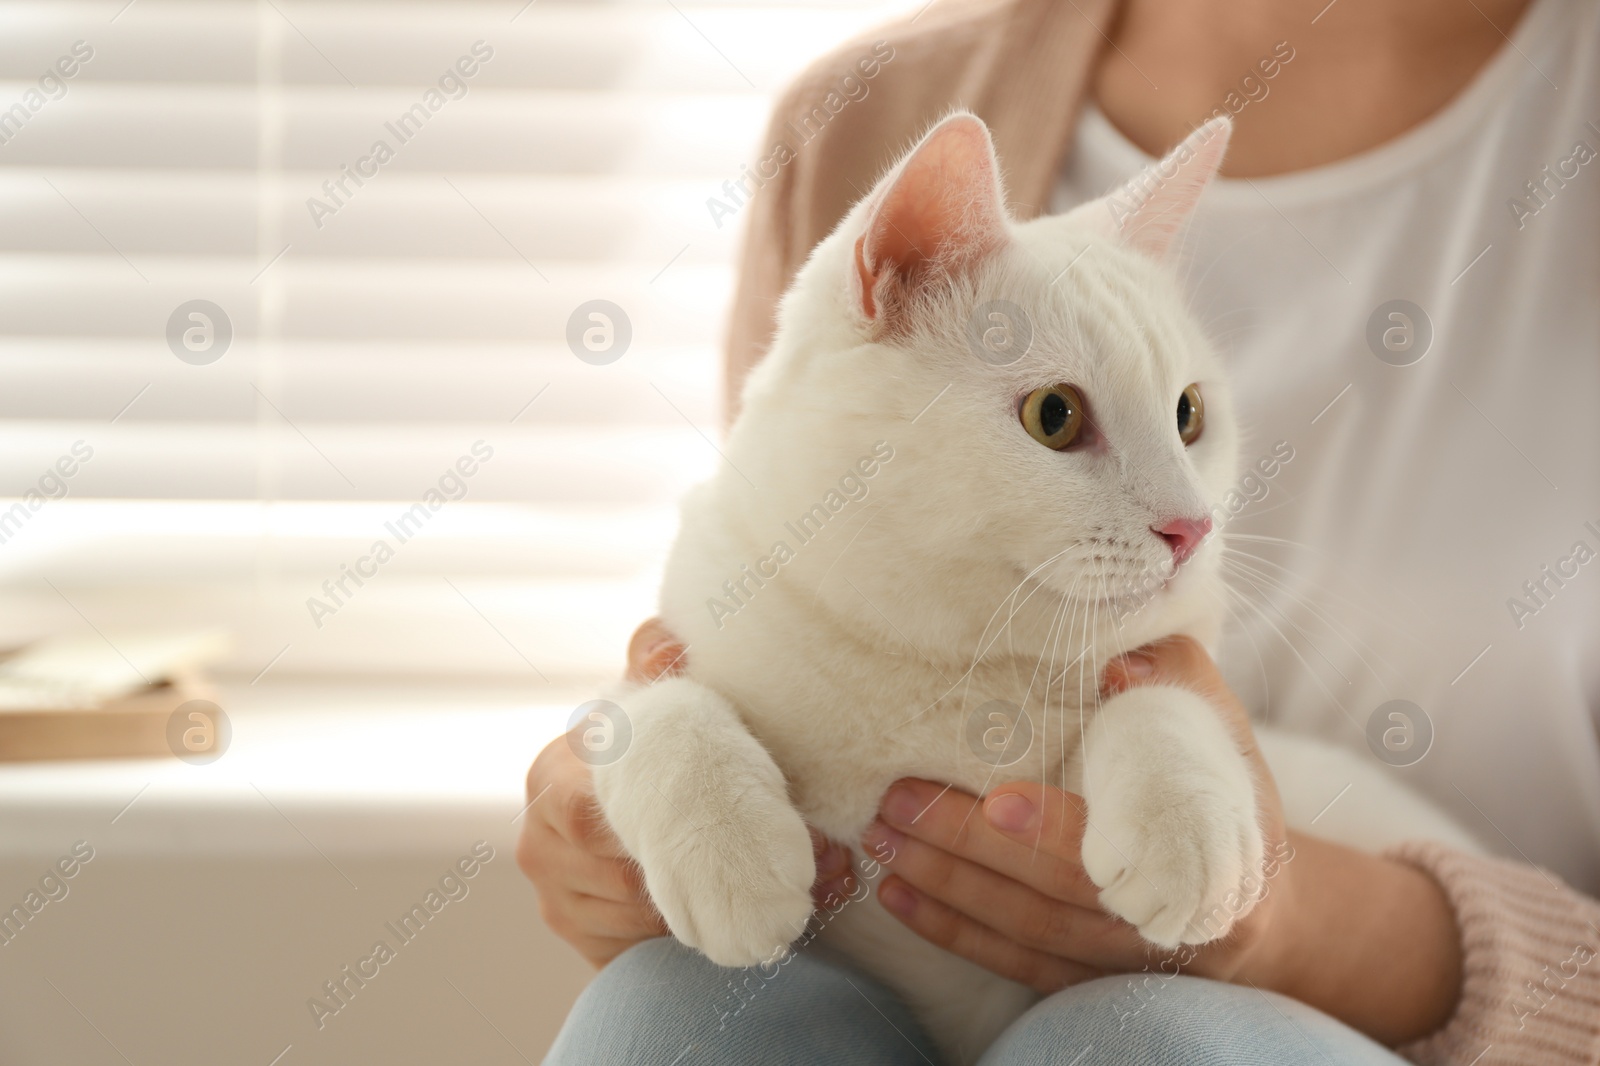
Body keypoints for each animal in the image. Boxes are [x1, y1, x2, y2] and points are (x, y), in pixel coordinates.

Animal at [598, 112, 1472, 1056]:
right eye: (1054, 415)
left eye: (1189, 415)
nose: (1192, 527)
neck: (953, 672)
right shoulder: (675, 645)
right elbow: (645, 711)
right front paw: (731, 857)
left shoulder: (1157, 667)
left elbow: (1158, 694)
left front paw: (1186, 830)